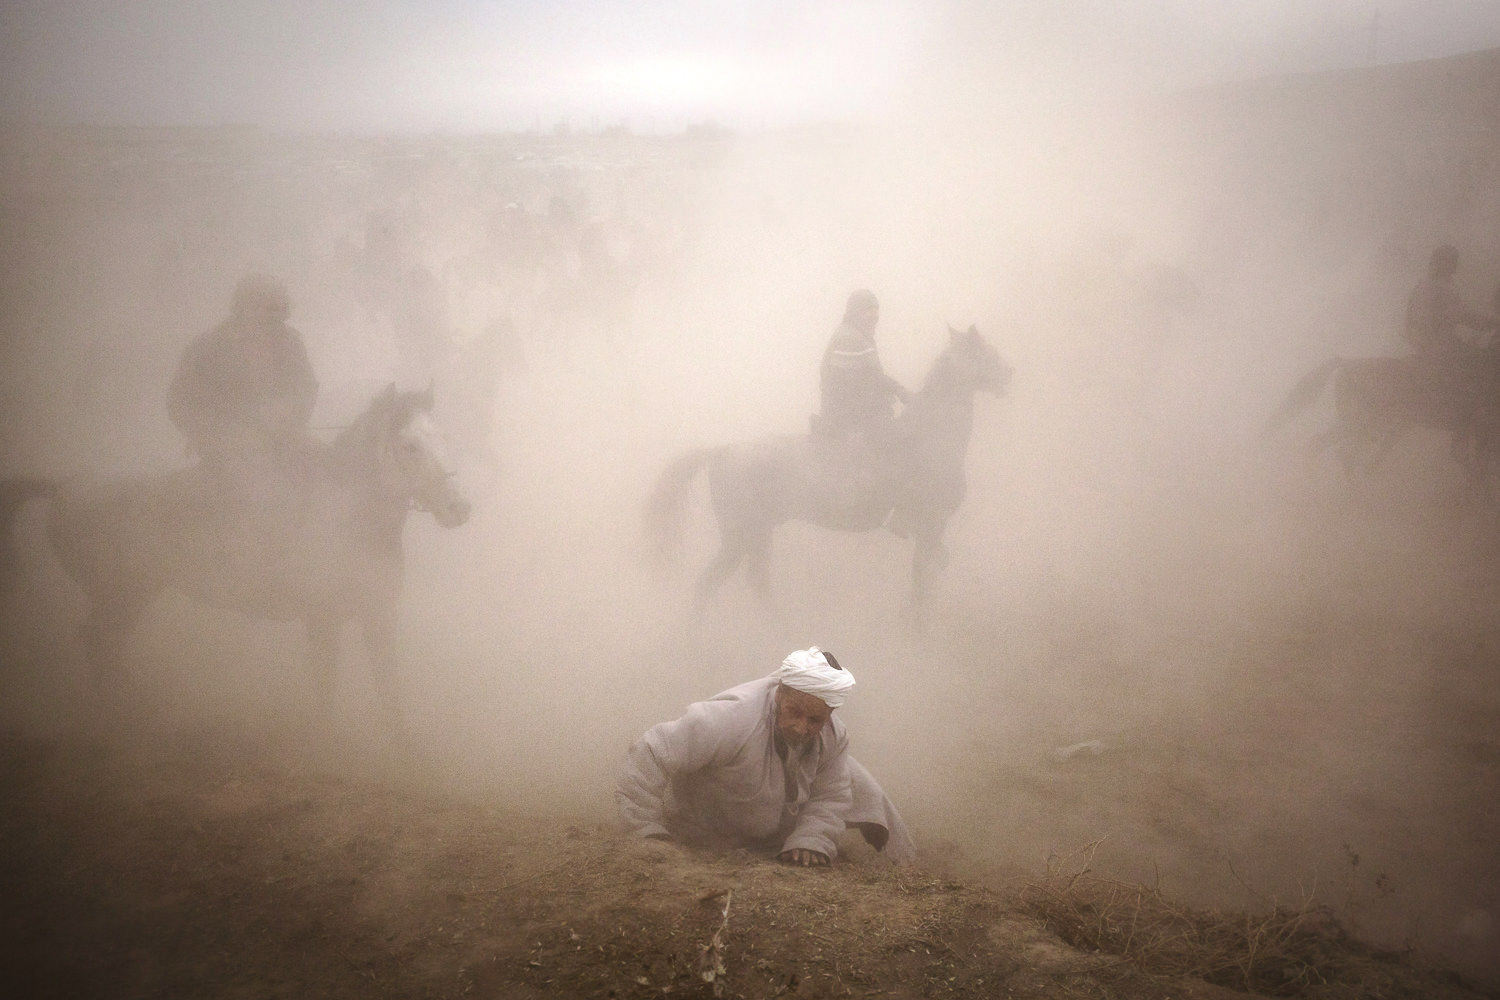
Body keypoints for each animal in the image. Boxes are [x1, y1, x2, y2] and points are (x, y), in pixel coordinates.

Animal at [0, 386, 468, 728]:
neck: (350, 519)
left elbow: (392, 701)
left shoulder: (378, 619)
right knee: (97, 642)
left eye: (446, 438)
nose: (458, 507)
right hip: (120, 594)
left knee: (102, 645)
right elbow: (324, 691)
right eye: (409, 445)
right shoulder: (322, 621)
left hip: (133, 596)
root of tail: (66, 485)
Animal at [639, 325, 1014, 617]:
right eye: (986, 353)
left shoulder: (929, 530)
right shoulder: (931, 525)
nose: (1009, 375)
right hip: (738, 536)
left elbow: (926, 575)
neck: (929, 435)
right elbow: (925, 578)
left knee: (755, 581)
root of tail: (723, 450)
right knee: (708, 584)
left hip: (759, 533)